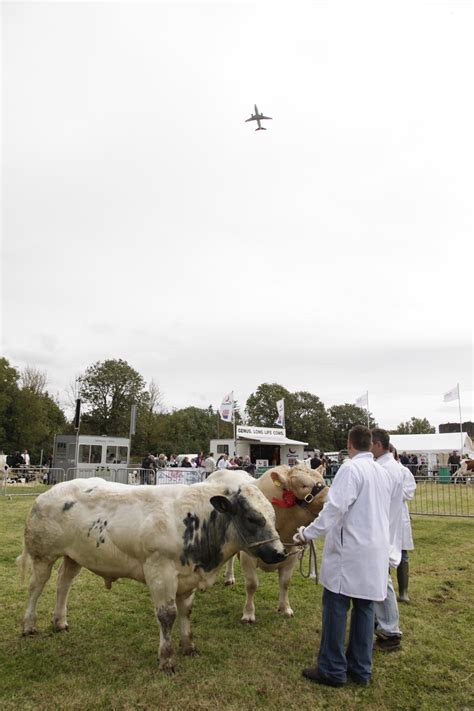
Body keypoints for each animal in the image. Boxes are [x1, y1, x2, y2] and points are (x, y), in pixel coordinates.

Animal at [18, 478, 286, 672]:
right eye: (252, 518)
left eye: (274, 516)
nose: (280, 552)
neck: (194, 522)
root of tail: (46, 494)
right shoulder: (160, 572)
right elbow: (167, 615)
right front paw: (167, 659)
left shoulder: (187, 578)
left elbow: (186, 612)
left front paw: (189, 646)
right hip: (43, 555)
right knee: (35, 587)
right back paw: (29, 626)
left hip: (74, 556)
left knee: (63, 584)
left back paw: (59, 621)